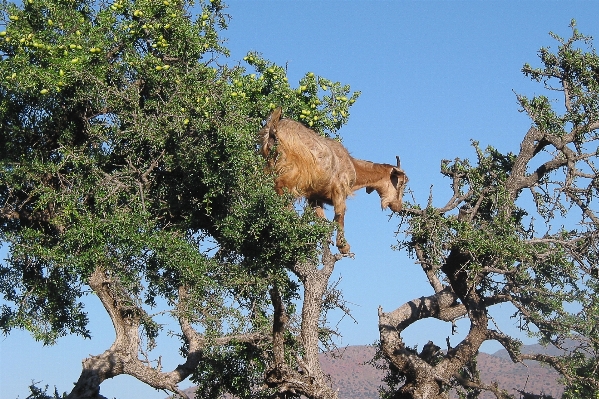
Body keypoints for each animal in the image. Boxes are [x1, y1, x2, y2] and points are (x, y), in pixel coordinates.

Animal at [258, 108, 408, 255]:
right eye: (400, 183)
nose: (398, 207)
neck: (353, 165)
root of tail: (274, 128)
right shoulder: (339, 189)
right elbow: (340, 214)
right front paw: (343, 246)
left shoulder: (315, 197)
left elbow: (321, 217)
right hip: (292, 172)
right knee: (280, 187)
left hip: (268, 166)